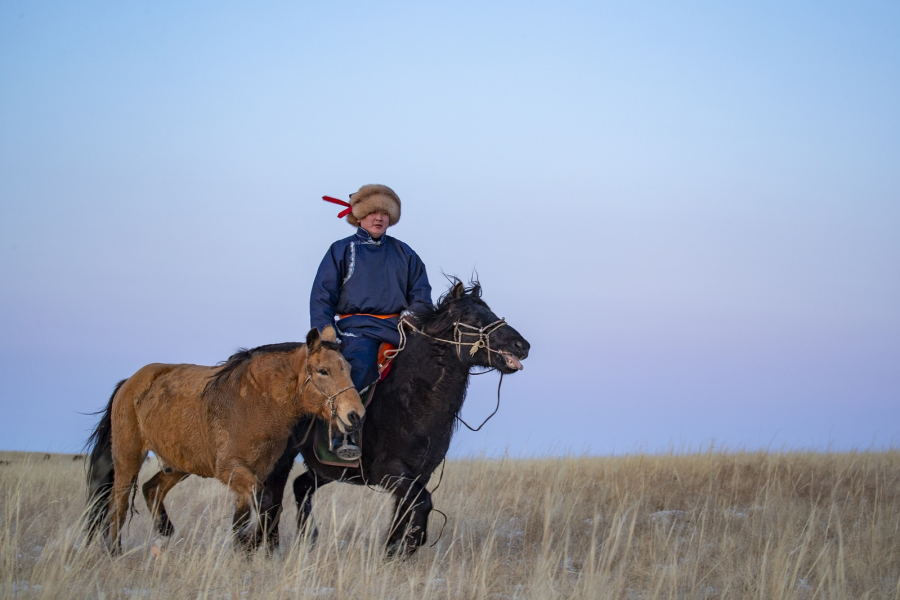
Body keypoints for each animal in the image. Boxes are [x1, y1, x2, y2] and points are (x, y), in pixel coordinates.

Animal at [82, 326, 364, 556]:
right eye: (323, 371)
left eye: (349, 369)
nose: (355, 415)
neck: (256, 402)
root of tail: (128, 383)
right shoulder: (232, 469)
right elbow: (264, 502)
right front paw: (249, 542)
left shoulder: (254, 473)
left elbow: (244, 515)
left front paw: (242, 551)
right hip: (128, 459)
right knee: (117, 503)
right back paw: (114, 551)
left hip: (179, 465)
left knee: (151, 488)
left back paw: (166, 532)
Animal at [262, 278, 528, 556]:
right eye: (474, 318)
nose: (522, 346)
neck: (413, 399)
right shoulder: (390, 471)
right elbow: (422, 503)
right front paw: (410, 544)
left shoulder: (418, 475)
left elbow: (403, 515)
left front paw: (394, 553)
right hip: (282, 457)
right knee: (271, 498)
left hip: (327, 468)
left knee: (300, 486)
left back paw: (307, 538)